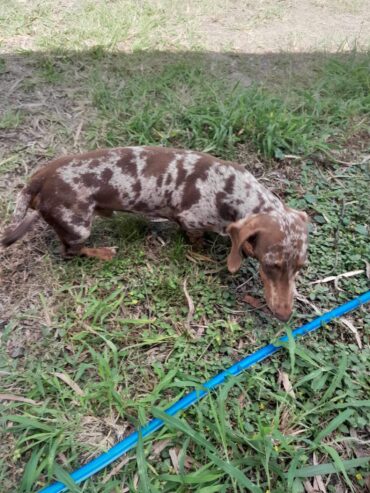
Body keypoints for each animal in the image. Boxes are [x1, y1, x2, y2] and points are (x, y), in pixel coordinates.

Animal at [1, 146, 308, 320]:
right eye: (271, 265)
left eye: (300, 267)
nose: (285, 316)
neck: (232, 190)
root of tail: (38, 178)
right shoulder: (191, 221)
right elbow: (196, 239)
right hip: (78, 227)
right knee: (69, 251)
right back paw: (103, 252)